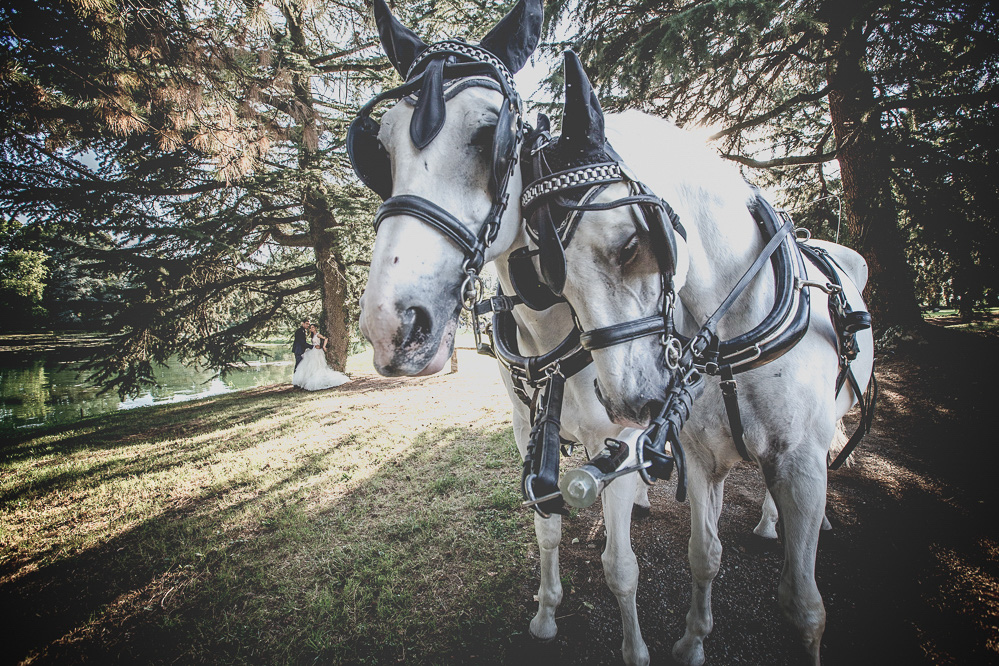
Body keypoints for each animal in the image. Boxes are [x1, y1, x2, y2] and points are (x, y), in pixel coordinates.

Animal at [517, 51, 876, 665]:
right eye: (547, 278)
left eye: (631, 244)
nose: (630, 401)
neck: (732, 333)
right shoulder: (702, 460)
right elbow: (704, 555)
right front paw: (690, 642)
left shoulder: (799, 462)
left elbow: (804, 604)